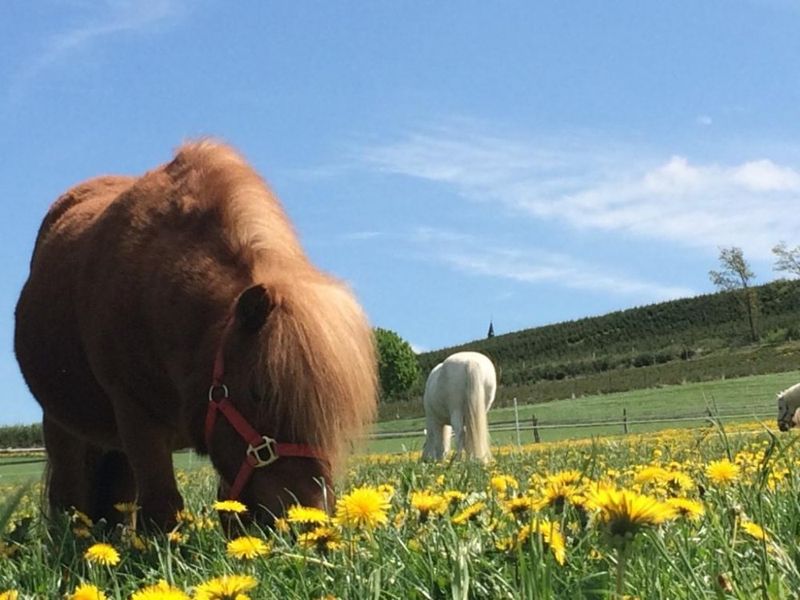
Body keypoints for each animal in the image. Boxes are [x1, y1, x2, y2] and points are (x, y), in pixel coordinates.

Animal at [14, 142, 378, 528]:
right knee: (69, 495)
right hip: (61, 425)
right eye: (260, 392)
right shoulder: (136, 415)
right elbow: (162, 505)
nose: (310, 518)